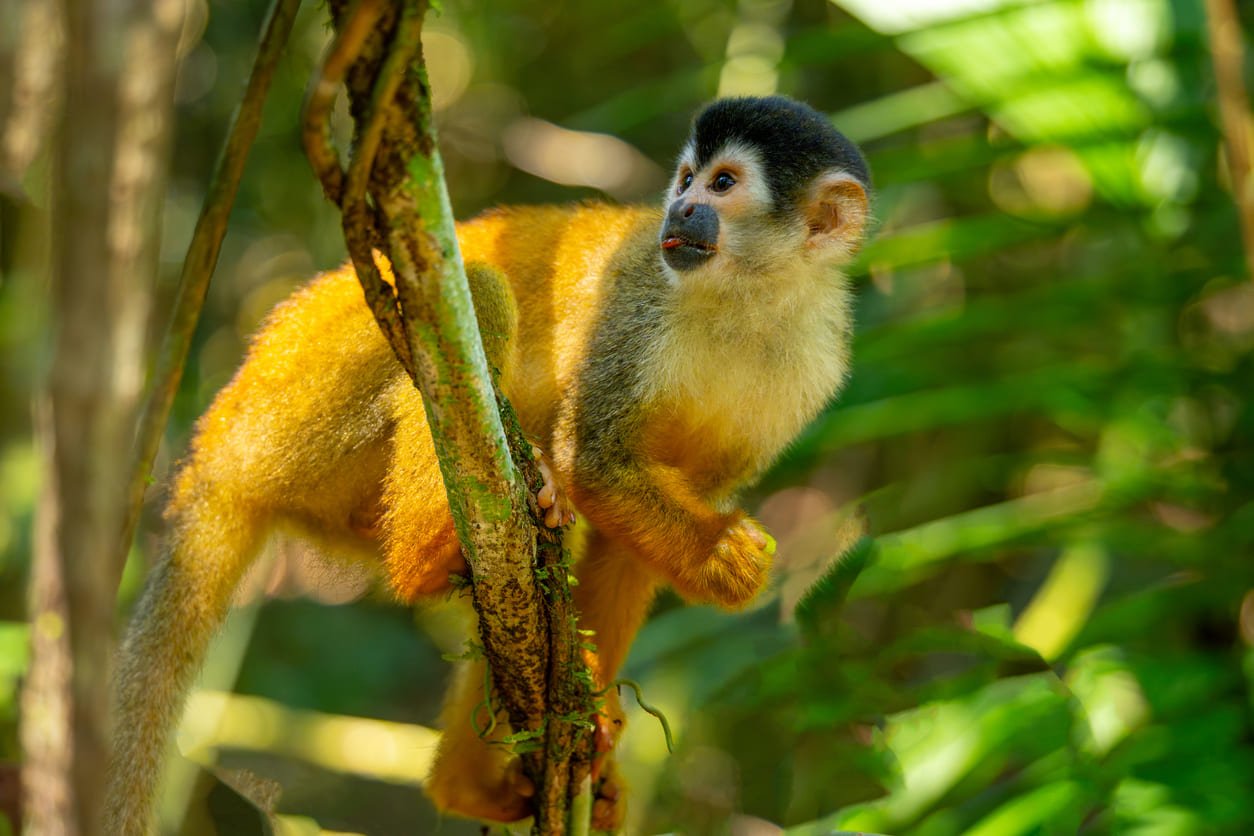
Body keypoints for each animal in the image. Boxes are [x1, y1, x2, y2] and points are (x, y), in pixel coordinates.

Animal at [104, 95, 870, 833]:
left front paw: (596, 718)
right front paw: (723, 559)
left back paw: (464, 780)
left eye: (723, 184)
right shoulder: (635, 304)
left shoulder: (810, 374)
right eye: (687, 180)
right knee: (477, 295)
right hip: (299, 412)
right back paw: (431, 548)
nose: (678, 210)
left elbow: (629, 546)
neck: (749, 302)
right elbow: (594, 462)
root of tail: (214, 455)